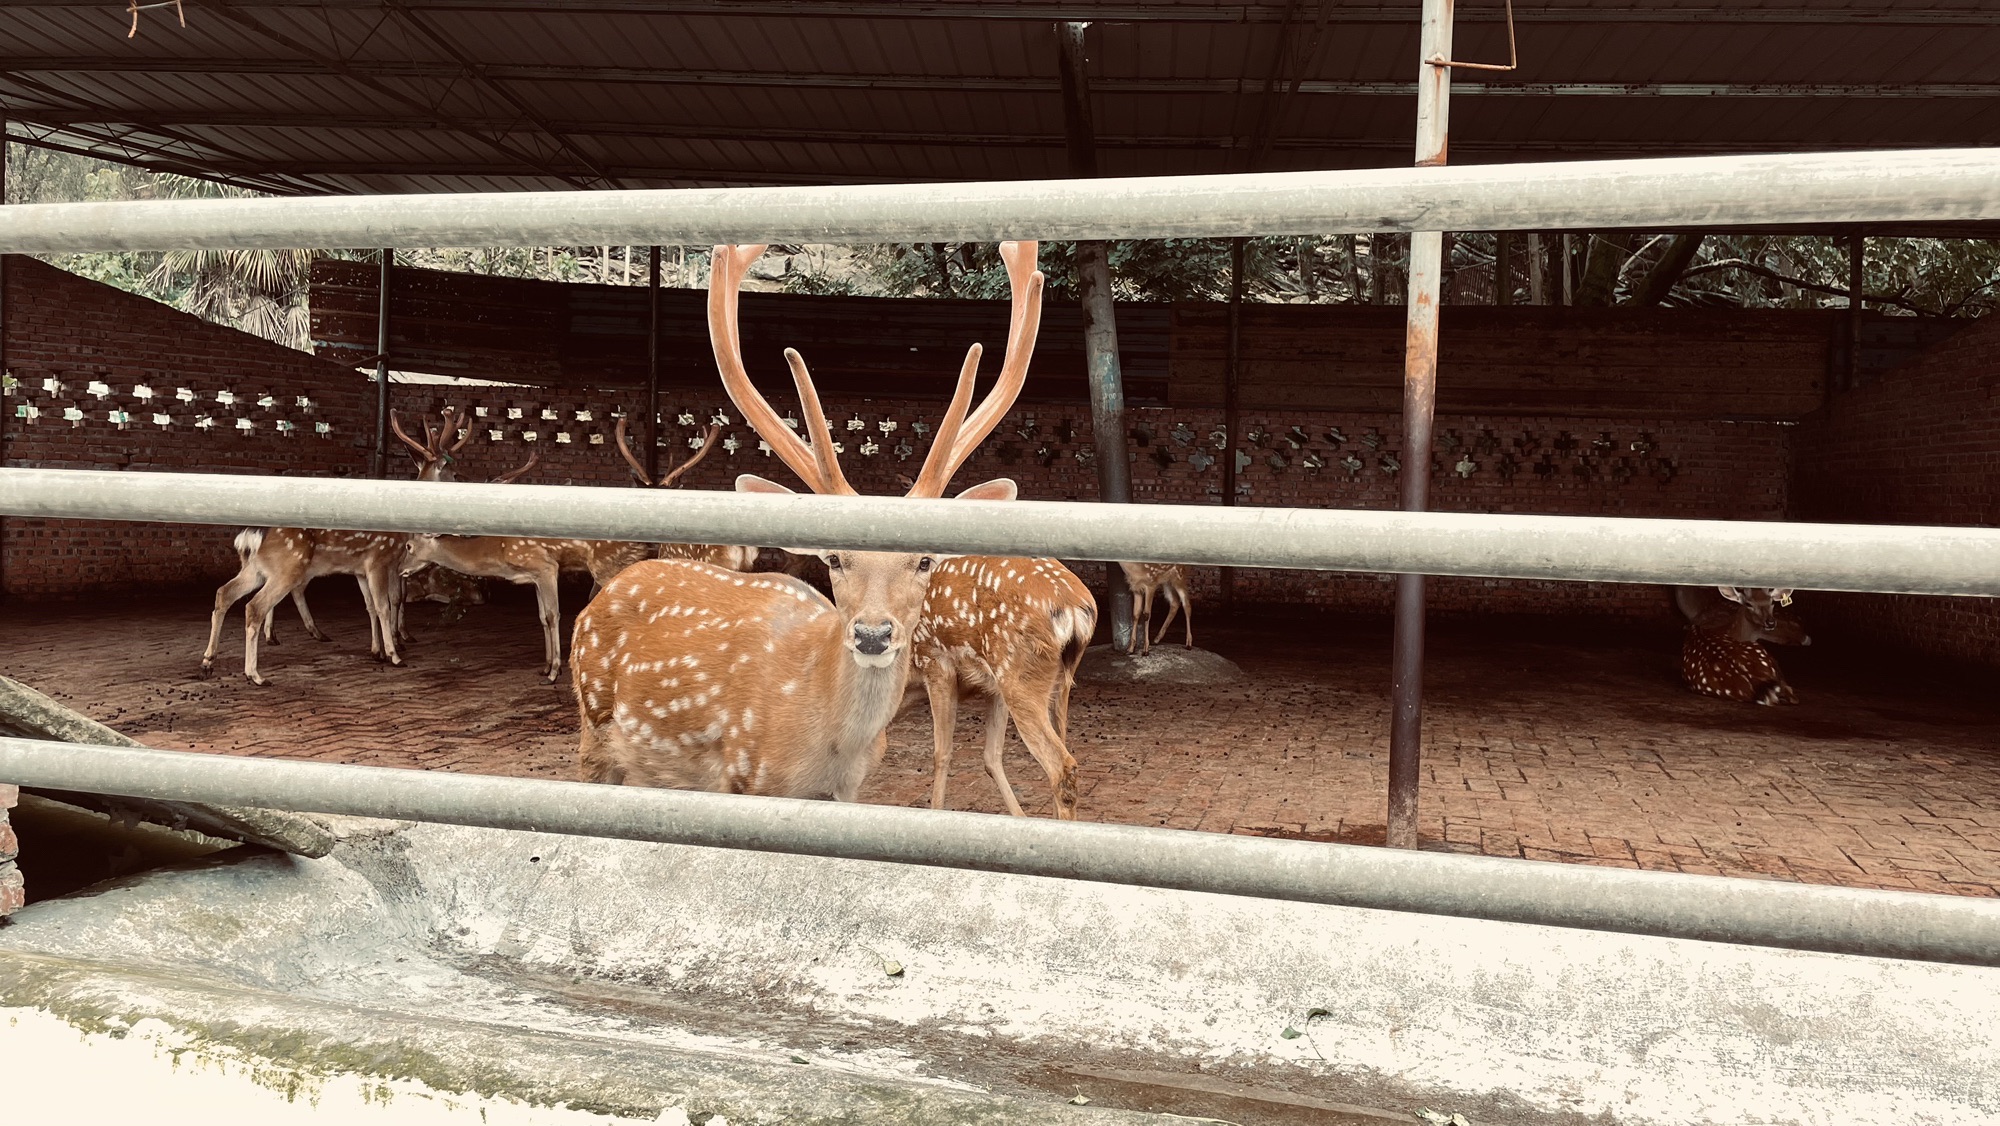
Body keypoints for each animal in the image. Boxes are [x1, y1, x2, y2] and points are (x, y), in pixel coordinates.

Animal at [199, 407, 496, 685]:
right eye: (454, 473)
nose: (471, 483)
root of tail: (251, 533)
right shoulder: (379, 559)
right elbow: (384, 605)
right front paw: (394, 654)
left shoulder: (360, 569)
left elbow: (370, 606)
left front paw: (377, 651)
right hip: (288, 565)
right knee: (255, 607)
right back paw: (255, 675)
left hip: (256, 567)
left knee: (224, 593)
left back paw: (208, 662)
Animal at [571, 239, 1043, 804]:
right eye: (833, 557)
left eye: (925, 560)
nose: (872, 635)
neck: (825, 750)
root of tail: (601, 599)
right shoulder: (745, 777)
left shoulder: (852, 788)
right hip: (593, 727)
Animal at [908, 555, 1096, 819]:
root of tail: (1073, 608)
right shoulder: (993, 687)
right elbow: (991, 755)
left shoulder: (934, 662)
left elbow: (941, 753)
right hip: (1055, 683)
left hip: (1018, 677)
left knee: (1062, 767)